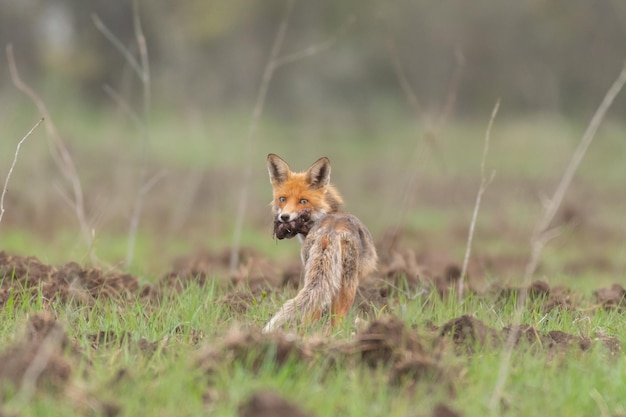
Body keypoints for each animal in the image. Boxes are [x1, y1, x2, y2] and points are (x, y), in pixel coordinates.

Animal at [262, 153, 376, 332]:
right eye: (283, 199)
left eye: (303, 201)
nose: (284, 217)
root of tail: (331, 229)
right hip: (347, 286)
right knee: (337, 318)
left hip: (312, 275)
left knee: (311, 312)